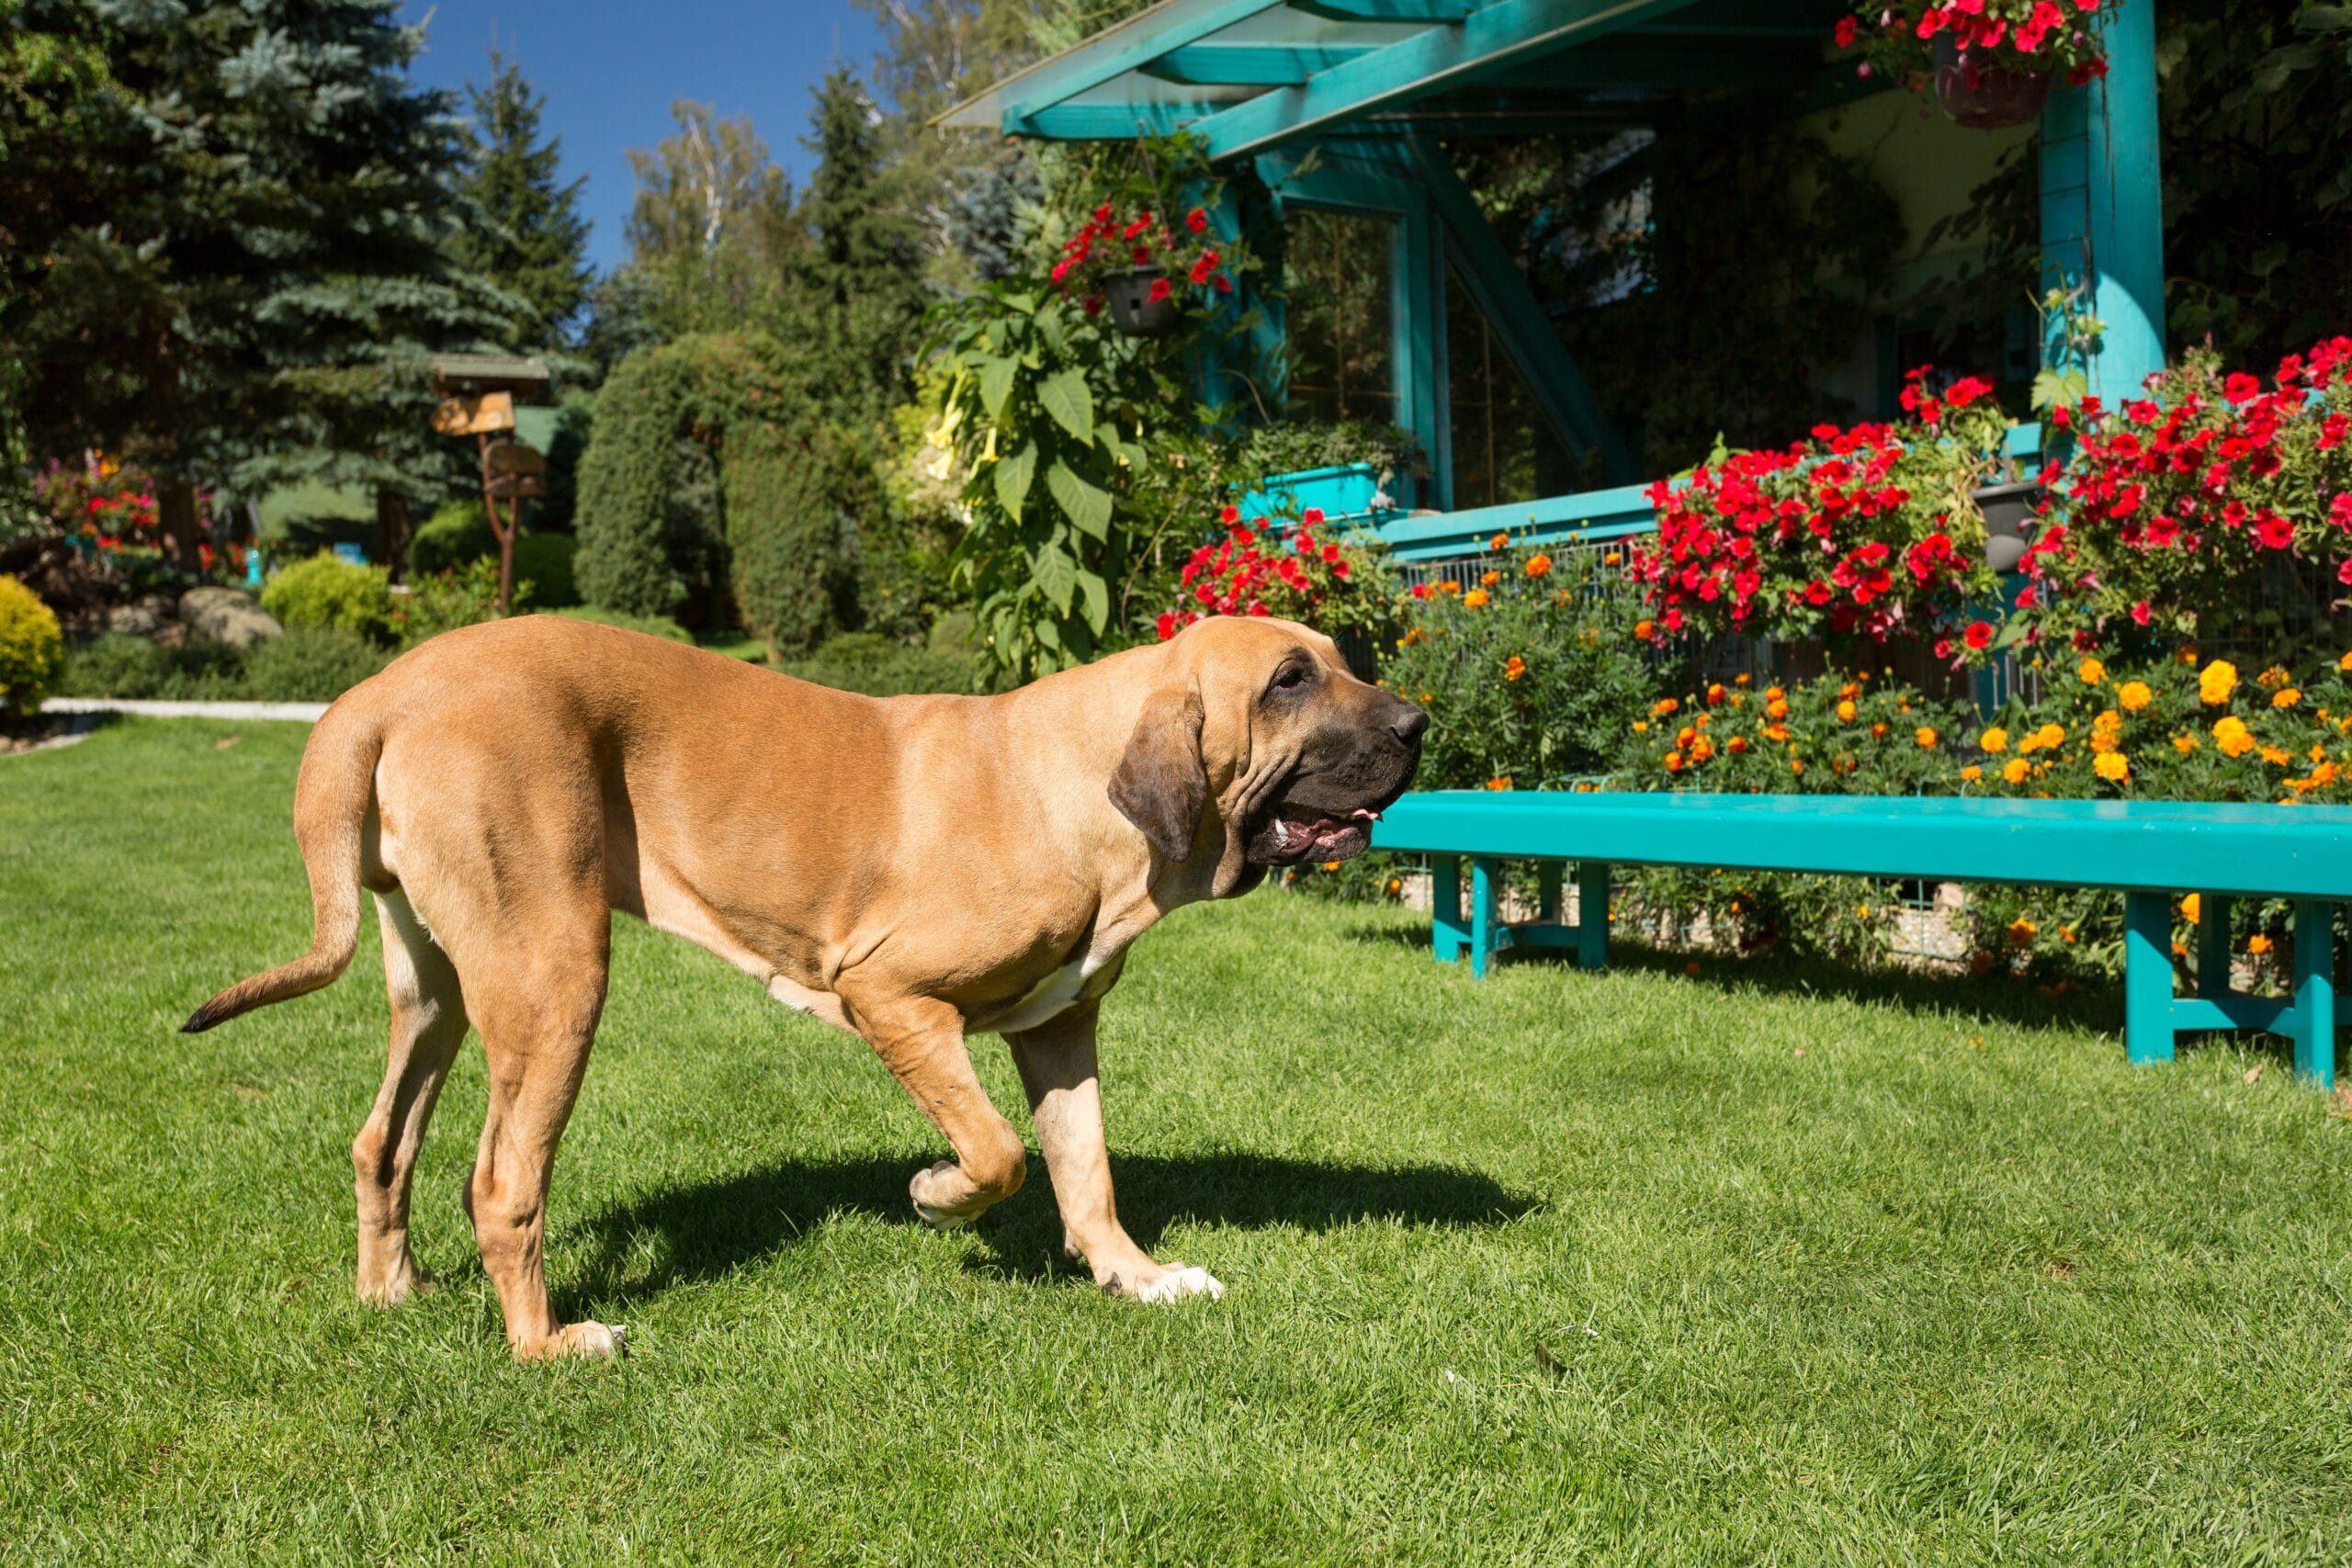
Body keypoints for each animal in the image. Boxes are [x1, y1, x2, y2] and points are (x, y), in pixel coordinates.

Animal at [183, 611, 1420, 1363]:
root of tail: (381, 691)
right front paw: (935, 1197)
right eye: (1288, 681)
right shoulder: (894, 998)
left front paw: (1135, 1277)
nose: (1418, 723)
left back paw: (389, 1293)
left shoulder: (1062, 1027)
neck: (1077, 785)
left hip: (438, 986)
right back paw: (545, 1345)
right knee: (500, 1184)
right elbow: (998, 1153)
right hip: (554, 976)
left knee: (382, 1142)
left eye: (1340, 656)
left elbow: (1086, 1172)